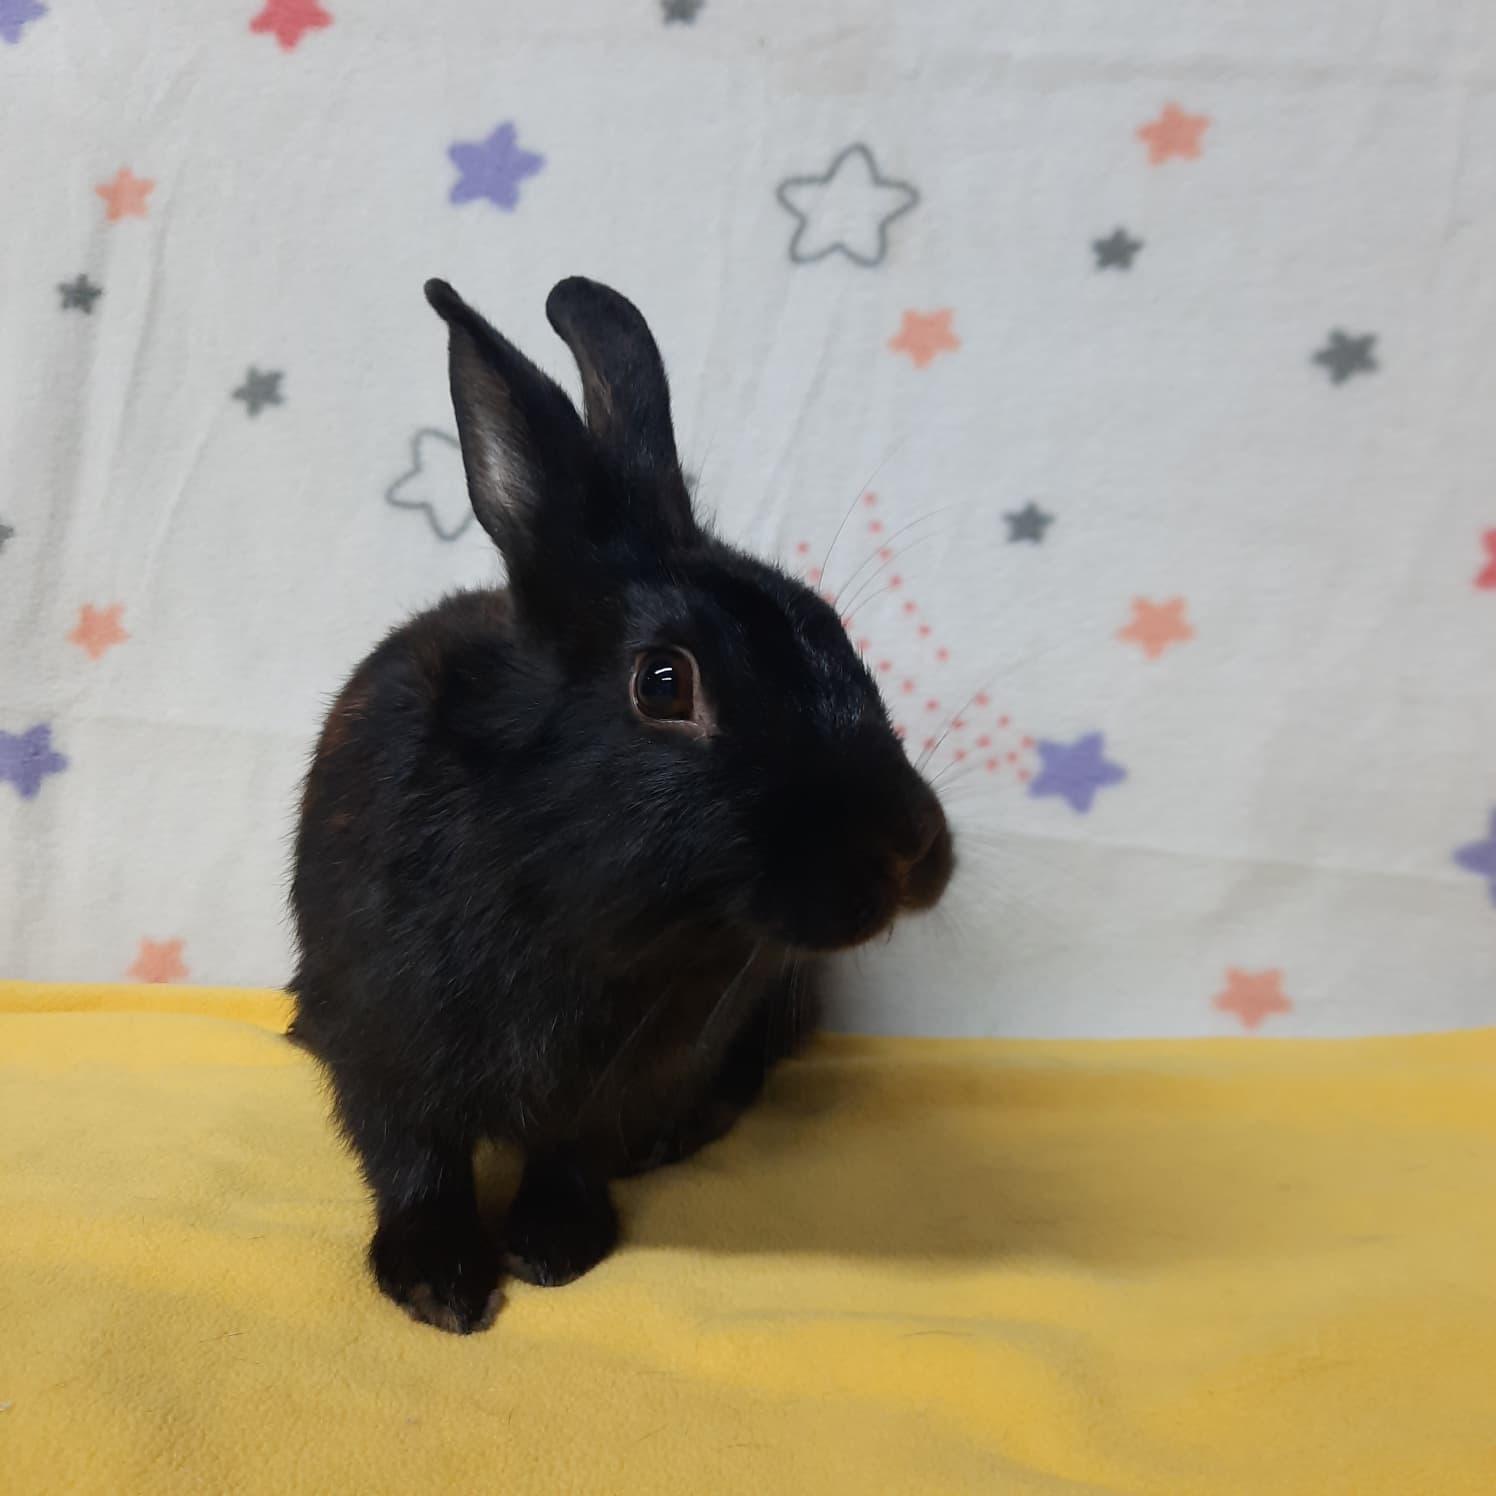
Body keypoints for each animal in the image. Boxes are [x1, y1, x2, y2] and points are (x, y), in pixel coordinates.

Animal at [288, 276, 955, 1333]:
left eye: (832, 631)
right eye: (663, 683)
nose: (911, 849)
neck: (585, 911)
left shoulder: (626, 1077)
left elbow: (572, 1152)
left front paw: (555, 1246)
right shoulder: (376, 1044)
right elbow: (412, 1159)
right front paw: (439, 1285)